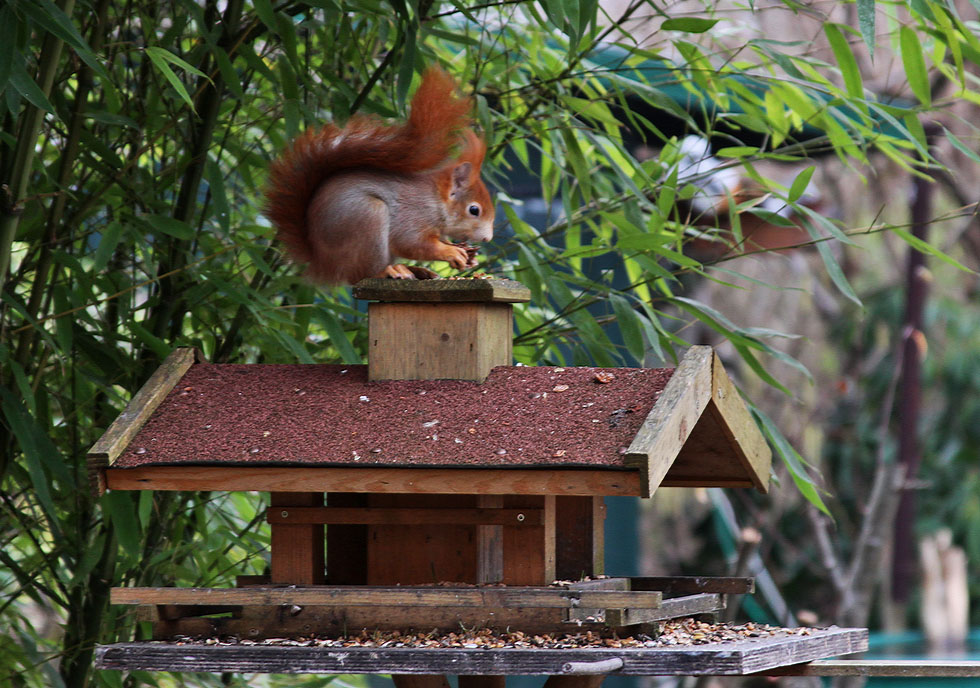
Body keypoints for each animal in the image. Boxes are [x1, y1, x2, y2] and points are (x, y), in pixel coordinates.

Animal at [264, 67, 494, 284]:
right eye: (474, 210)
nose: (487, 239)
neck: (435, 200)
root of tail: (322, 262)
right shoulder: (413, 214)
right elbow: (411, 242)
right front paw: (451, 251)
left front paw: (469, 256)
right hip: (367, 217)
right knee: (359, 275)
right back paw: (388, 271)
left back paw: (414, 270)